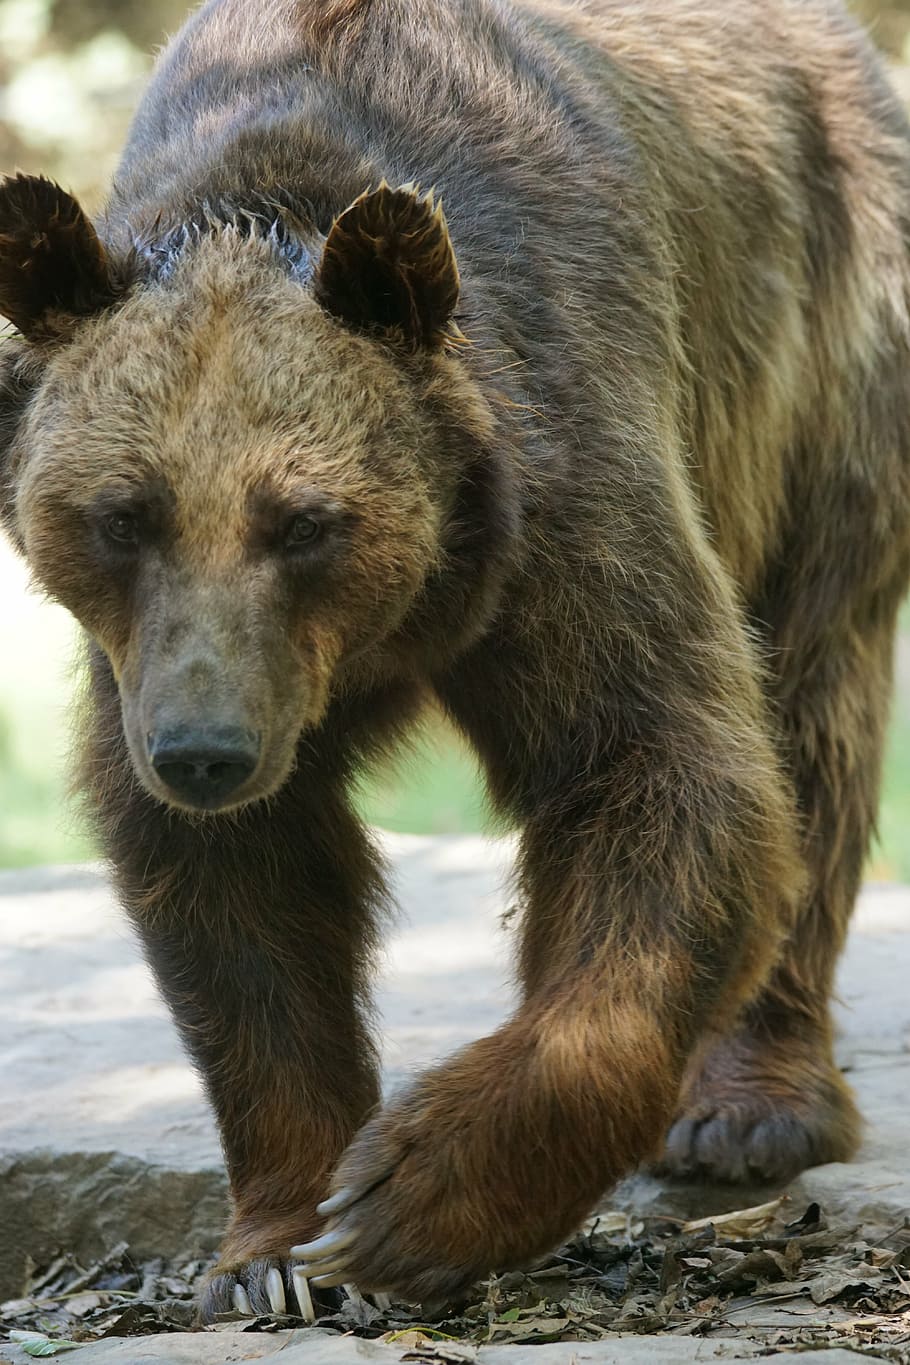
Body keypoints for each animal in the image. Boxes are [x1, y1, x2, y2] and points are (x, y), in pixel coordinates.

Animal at [1, 0, 909, 1325]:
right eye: (124, 515)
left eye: (304, 521)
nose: (205, 752)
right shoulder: (171, 668)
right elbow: (245, 902)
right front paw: (279, 1247)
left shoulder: (562, 475)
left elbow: (660, 766)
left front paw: (404, 1199)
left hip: (822, 360)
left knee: (812, 708)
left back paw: (748, 1110)